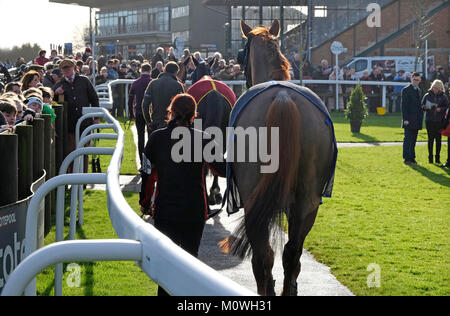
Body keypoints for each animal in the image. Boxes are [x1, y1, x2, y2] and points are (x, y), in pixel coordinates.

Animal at [221, 19, 338, 296]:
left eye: (240, 55)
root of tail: (283, 98)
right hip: (308, 202)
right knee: (292, 252)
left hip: (253, 199)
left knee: (263, 255)